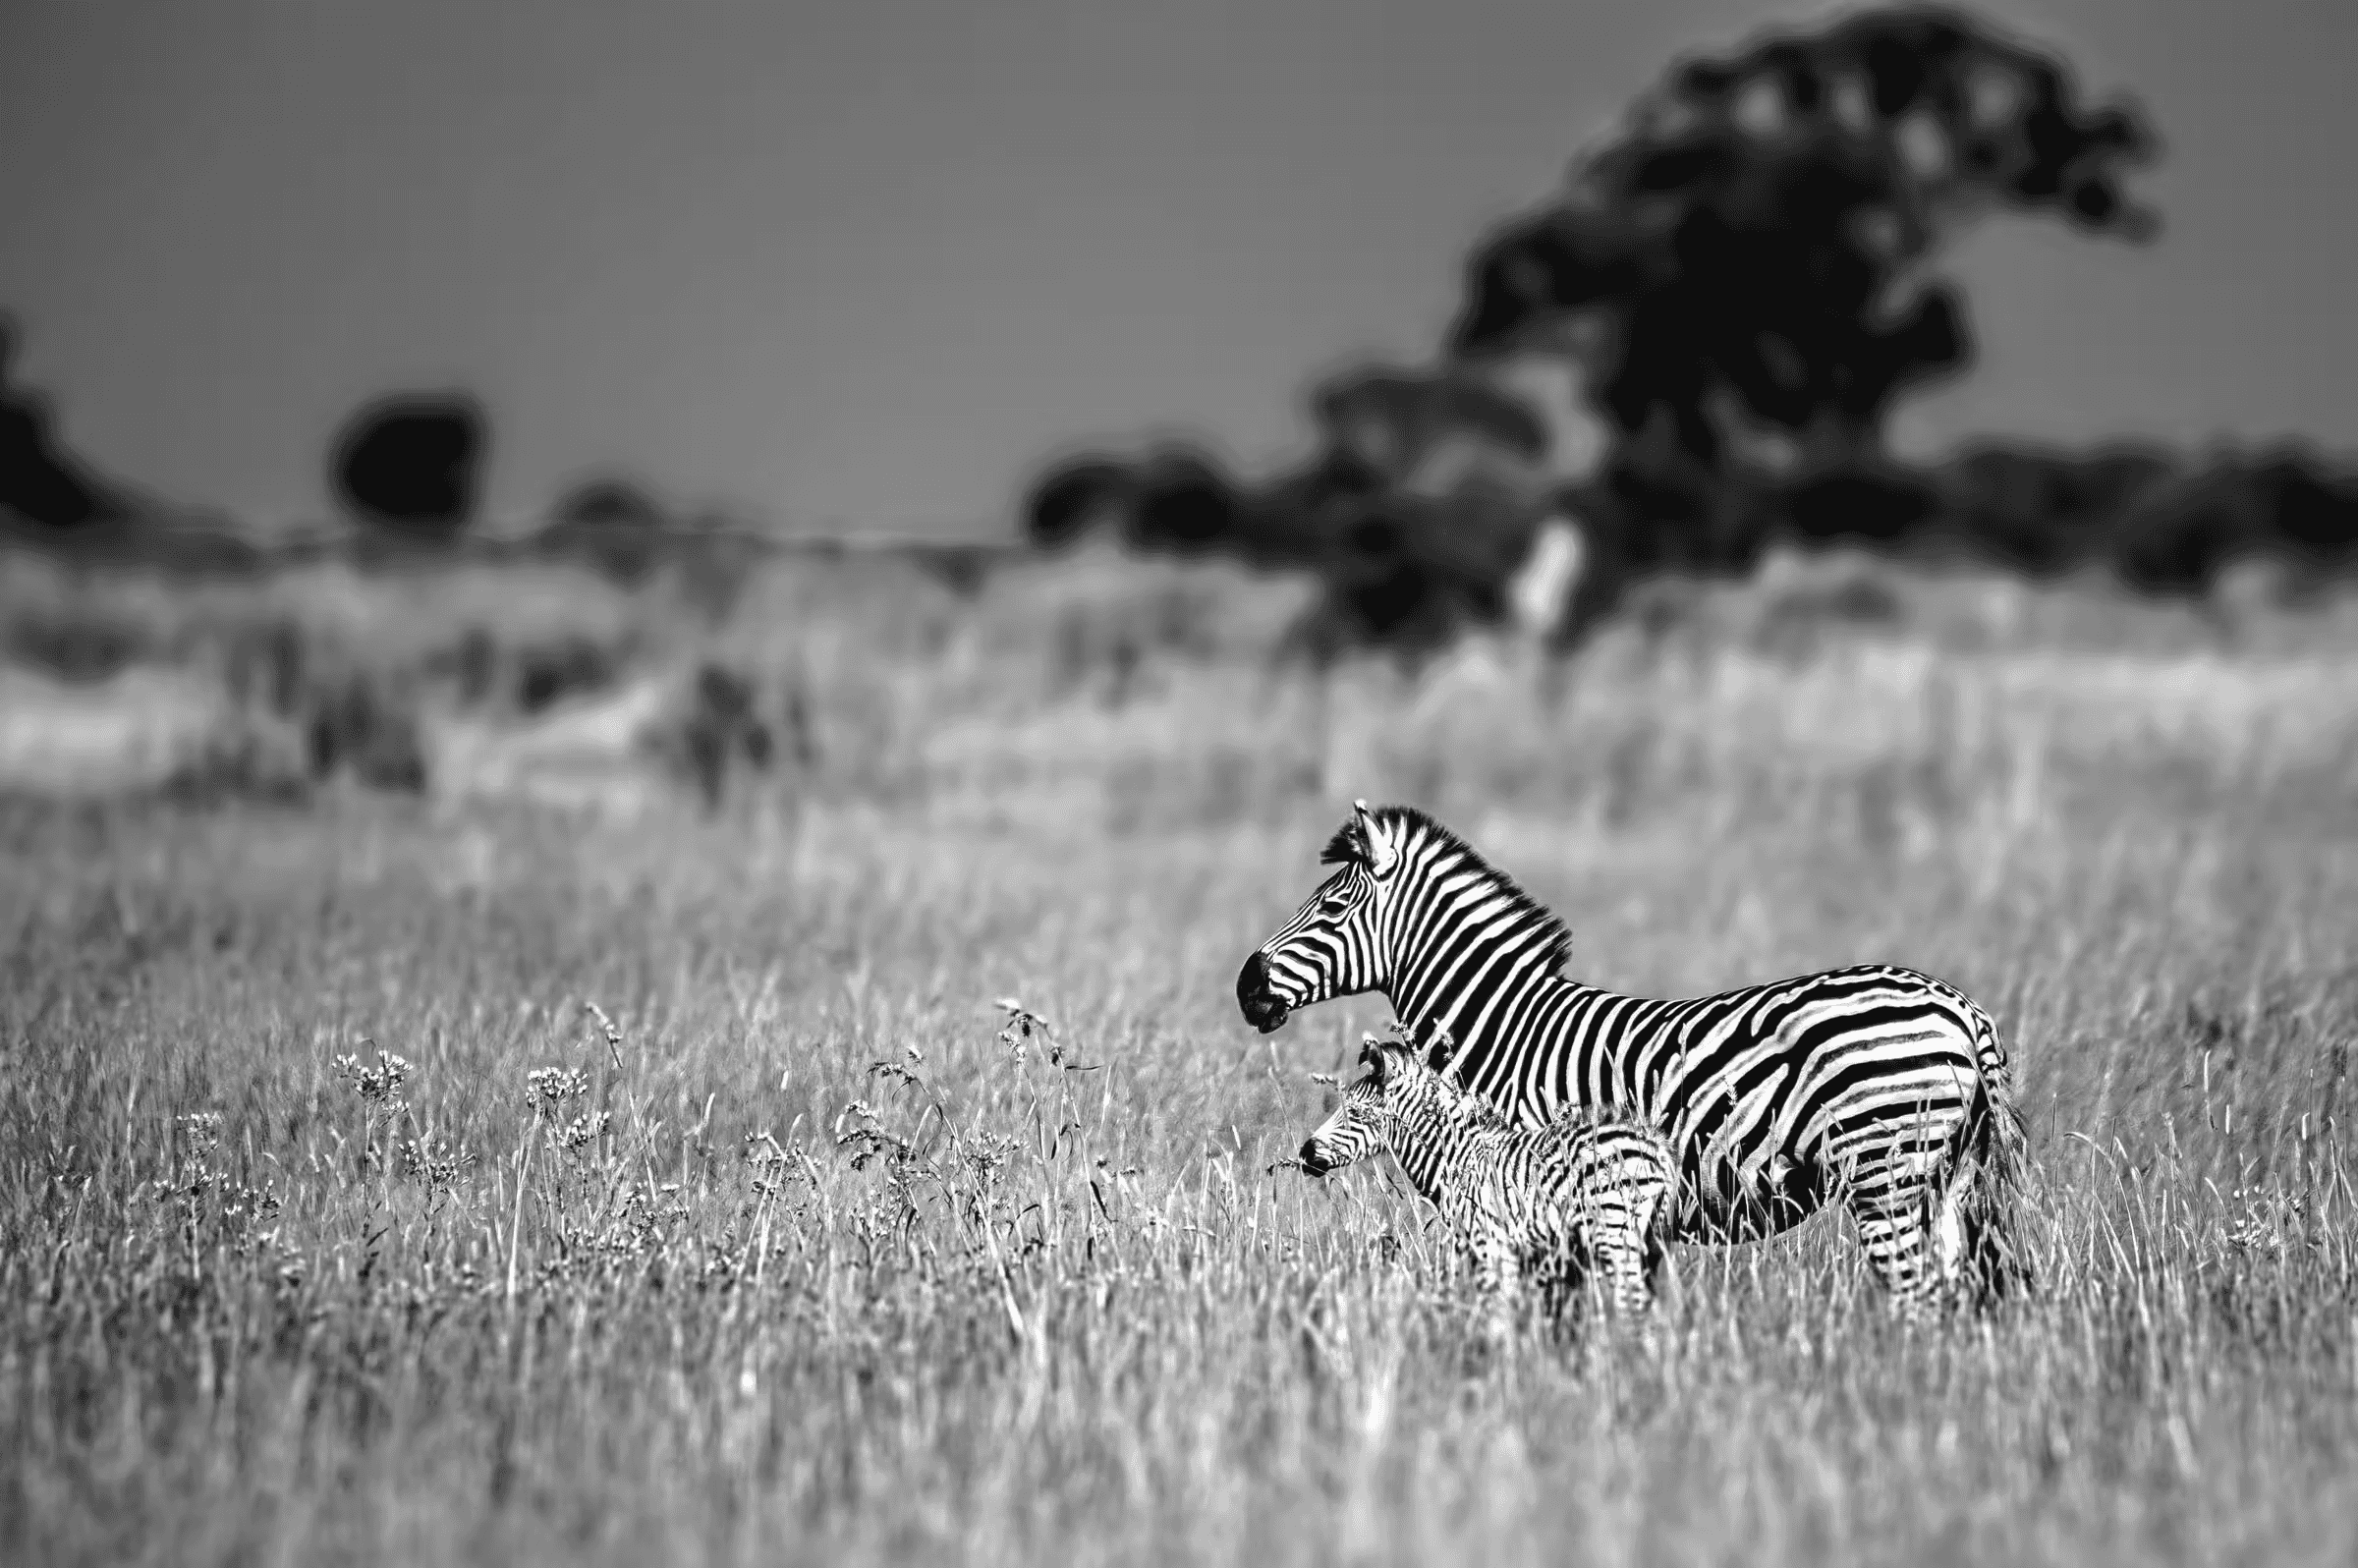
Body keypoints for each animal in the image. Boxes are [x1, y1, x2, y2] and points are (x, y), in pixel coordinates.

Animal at [1298, 1025, 1677, 1319]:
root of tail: (1655, 1145)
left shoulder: (1490, 1244)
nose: (1304, 1153)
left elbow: (1495, 1315)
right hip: (1648, 1242)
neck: (1456, 1156)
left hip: (1614, 1233)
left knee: (1633, 1306)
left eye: (1355, 1114)